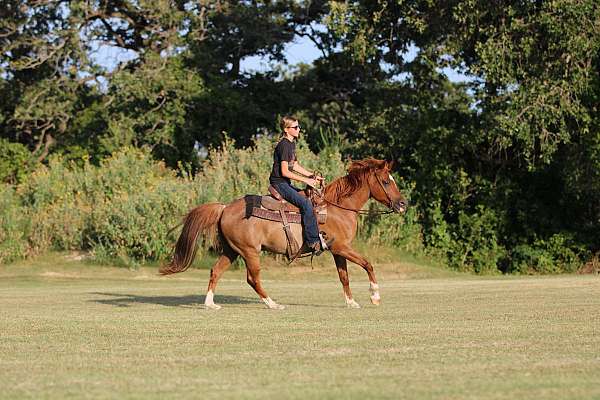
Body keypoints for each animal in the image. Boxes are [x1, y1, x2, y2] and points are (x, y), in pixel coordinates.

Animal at [158, 159, 408, 310]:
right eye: (385, 181)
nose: (402, 204)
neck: (338, 208)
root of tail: (225, 208)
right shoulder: (342, 248)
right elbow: (368, 264)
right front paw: (375, 296)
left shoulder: (338, 250)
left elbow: (344, 277)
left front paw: (352, 302)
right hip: (250, 252)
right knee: (252, 278)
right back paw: (272, 304)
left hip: (232, 251)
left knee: (215, 271)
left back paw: (210, 304)